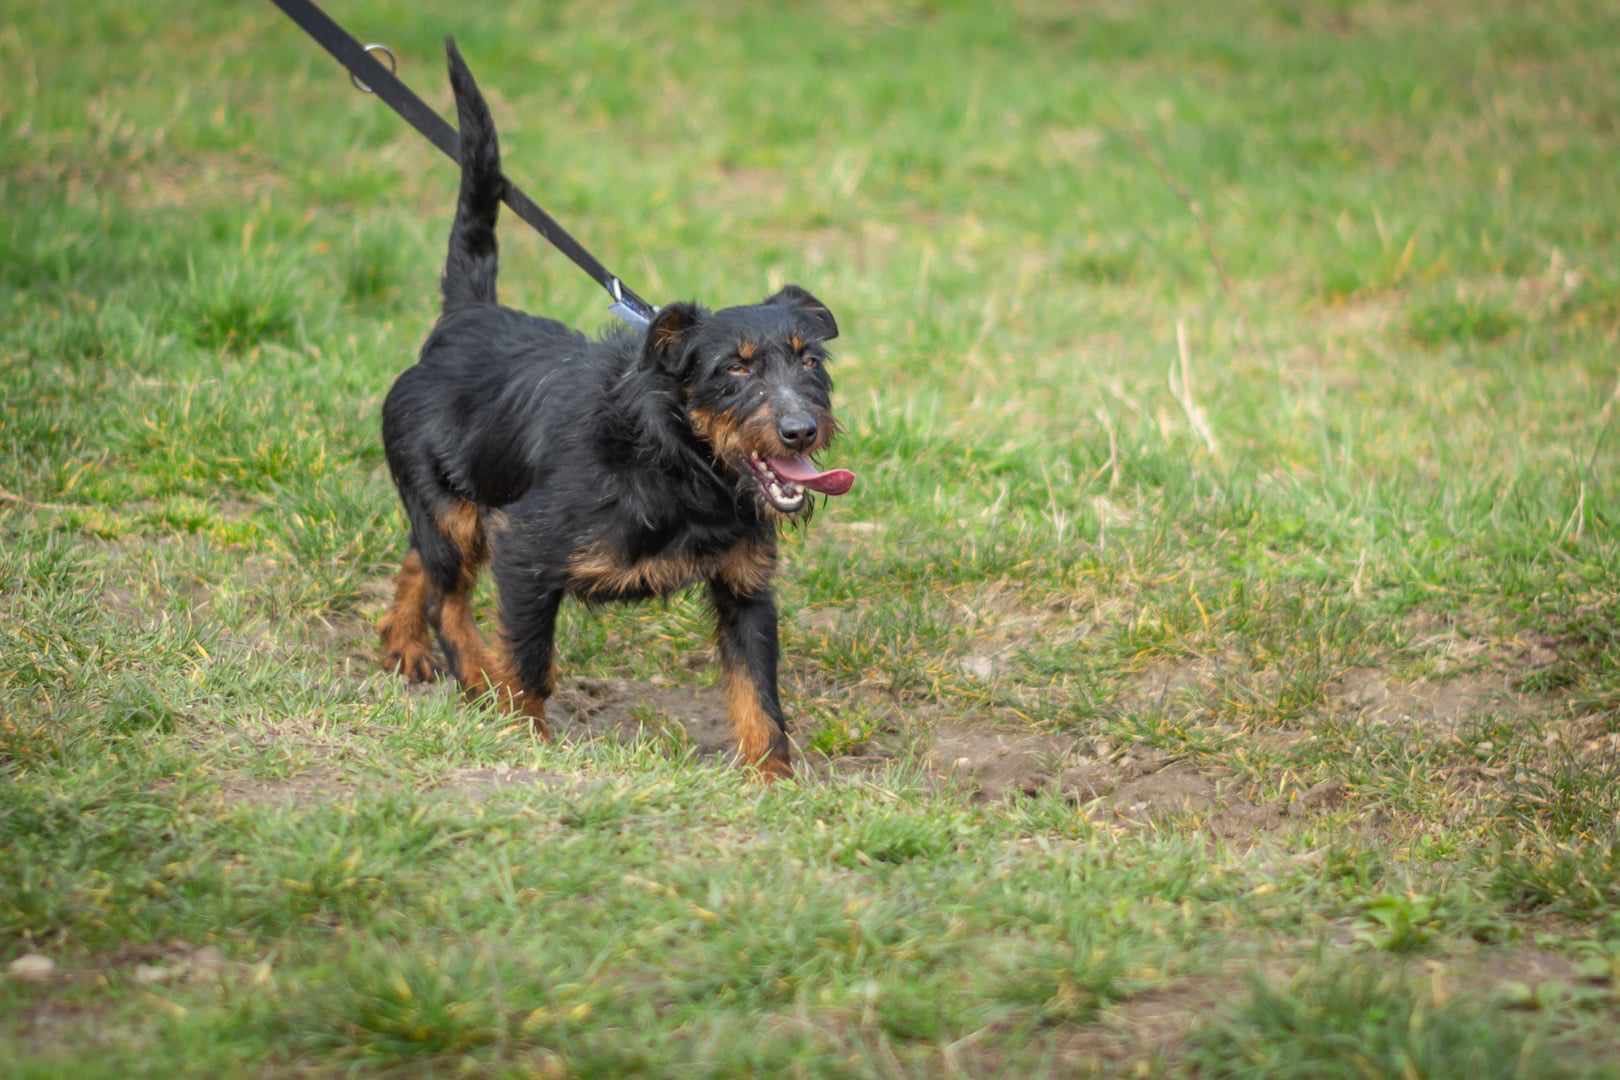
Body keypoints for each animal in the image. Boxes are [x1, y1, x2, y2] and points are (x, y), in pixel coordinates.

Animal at [374, 42, 855, 780]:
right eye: (734, 369)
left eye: (810, 361)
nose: (801, 430)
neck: (679, 463)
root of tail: (467, 318)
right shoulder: (526, 555)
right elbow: (531, 664)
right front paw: (527, 739)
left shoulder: (746, 588)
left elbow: (758, 695)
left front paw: (774, 782)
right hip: (453, 507)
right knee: (448, 595)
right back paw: (474, 673)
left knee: (419, 559)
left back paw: (404, 643)